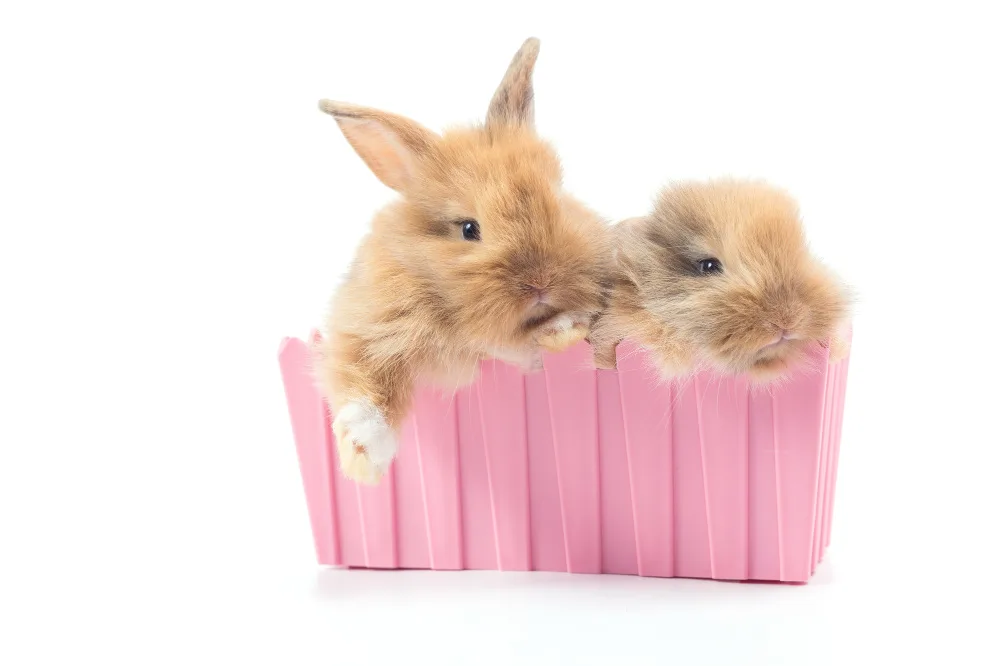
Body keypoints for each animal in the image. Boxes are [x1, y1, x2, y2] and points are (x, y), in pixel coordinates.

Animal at [312, 37, 612, 482]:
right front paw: (363, 459)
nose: (540, 282)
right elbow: (361, 384)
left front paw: (563, 329)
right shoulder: (367, 327)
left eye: (558, 201)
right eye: (469, 229)